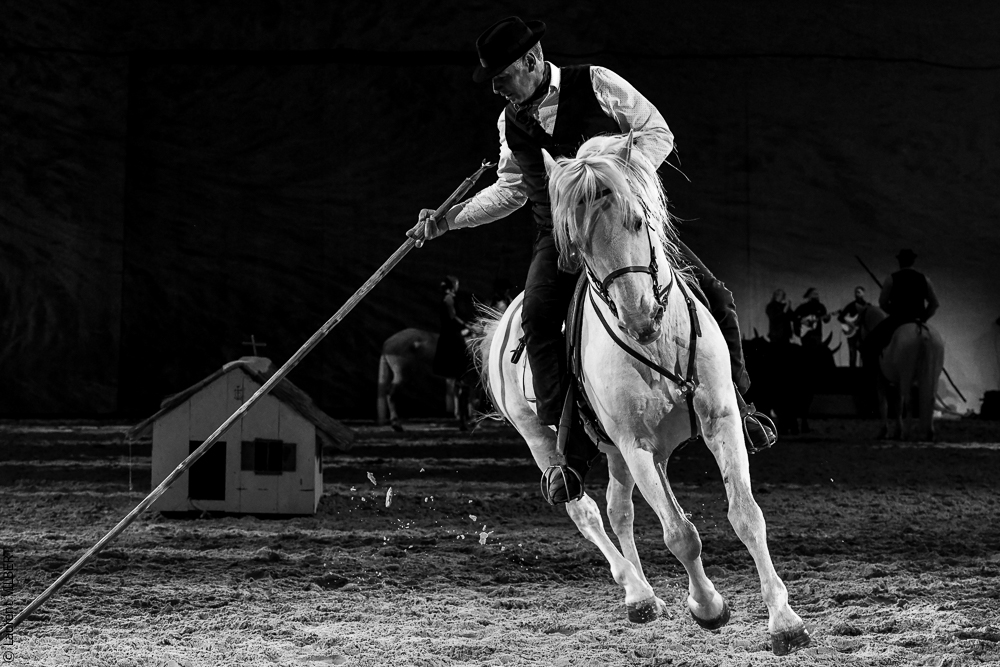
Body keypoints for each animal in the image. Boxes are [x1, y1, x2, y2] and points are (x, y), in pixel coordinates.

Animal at [474, 132, 810, 655]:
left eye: (637, 220)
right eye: (578, 246)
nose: (639, 317)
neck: (658, 346)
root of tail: (504, 320)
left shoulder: (720, 422)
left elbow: (746, 515)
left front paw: (785, 622)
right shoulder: (638, 446)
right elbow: (679, 534)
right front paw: (708, 608)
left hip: (618, 451)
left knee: (619, 509)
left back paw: (645, 595)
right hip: (546, 439)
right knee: (586, 509)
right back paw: (637, 592)